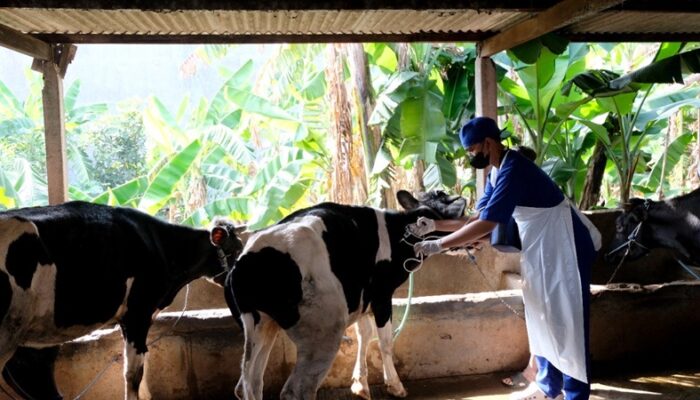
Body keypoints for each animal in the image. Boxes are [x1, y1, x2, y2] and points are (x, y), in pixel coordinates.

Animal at [224, 190, 464, 400]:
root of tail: (246, 260)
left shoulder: (361, 298)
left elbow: (364, 334)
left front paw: (360, 384)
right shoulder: (381, 294)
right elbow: (384, 342)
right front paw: (395, 385)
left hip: (261, 324)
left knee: (248, 382)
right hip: (324, 328)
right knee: (295, 390)